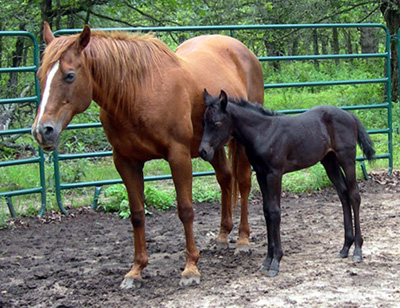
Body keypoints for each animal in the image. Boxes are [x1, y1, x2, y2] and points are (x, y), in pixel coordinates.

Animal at [30, 22, 262, 288]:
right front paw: (136, 270)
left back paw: (243, 240)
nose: (42, 131)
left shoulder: (178, 156)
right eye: (40, 77)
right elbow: (137, 214)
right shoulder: (125, 162)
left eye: (70, 75)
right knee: (225, 178)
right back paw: (223, 235)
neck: (137, 93)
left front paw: (191, 267)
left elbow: (185, 210)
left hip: (239, 144)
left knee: (243, 183)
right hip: (211, 147)